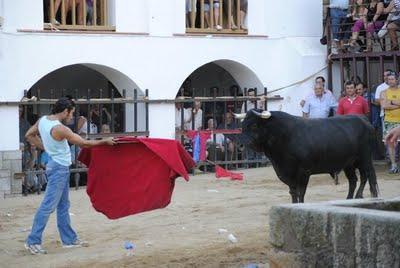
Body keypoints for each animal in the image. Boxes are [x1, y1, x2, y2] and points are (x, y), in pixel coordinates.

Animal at [236, 109, 380, 203]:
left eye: (254, 125)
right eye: (242, 125)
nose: (240, 145)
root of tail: (363, 119)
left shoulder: (304, 171)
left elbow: (301, 192)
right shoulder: (286, 172)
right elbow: (293, 192)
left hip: (365, 159)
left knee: (369, 176)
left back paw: (368, 196)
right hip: (349, 164)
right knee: (354, 180)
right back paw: (349, 199)